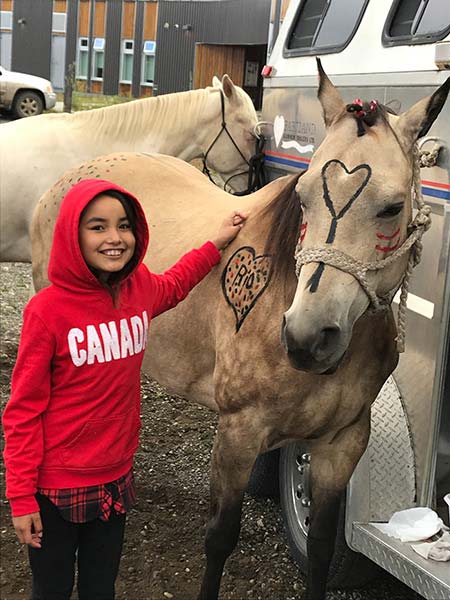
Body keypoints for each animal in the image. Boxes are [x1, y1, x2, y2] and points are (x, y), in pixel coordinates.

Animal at [31, 62, 450, 600]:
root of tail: (76, 175)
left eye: (392, 207)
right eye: (303, 196)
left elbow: (320, 548)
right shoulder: (238, 433)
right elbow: (220, 538)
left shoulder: (343, 442)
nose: (307, 337)